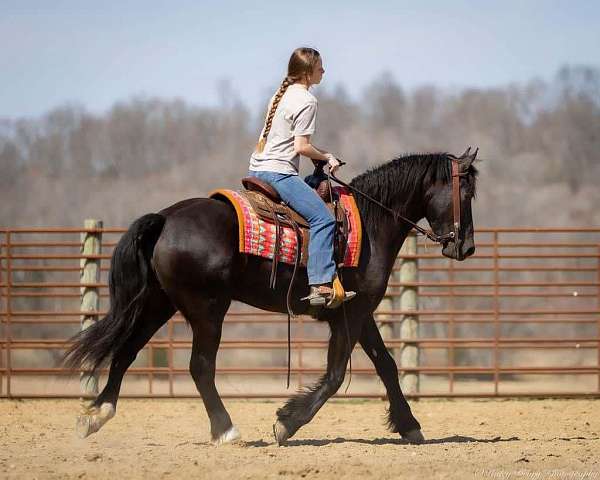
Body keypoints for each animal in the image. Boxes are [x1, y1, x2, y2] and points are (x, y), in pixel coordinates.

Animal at [64, 149, 478, 446]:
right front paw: (287, 423)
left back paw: (96, 415)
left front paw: (409, 425)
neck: (371, 221)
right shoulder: (351, 313)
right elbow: (335, 375)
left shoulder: (360, 311)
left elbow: (386, 365)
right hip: (207, 310)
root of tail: (165, 218)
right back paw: (226, 430)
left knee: (125, 352)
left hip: (157, 303)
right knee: (200, 366)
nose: (467, 248)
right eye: (467, 192)